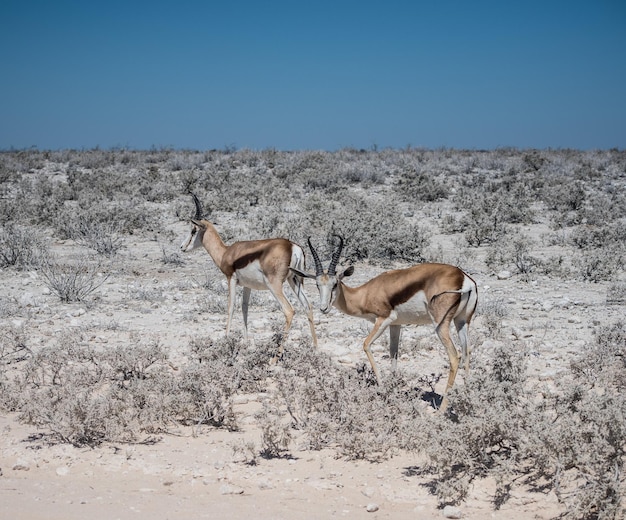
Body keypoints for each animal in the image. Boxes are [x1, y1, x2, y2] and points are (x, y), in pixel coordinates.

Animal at [180, 193, 316, 356]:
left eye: (193, 230)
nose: (182, 247)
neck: (225, 252)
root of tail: (292, 246)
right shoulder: (247, 285)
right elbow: (245, 308)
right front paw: (245, 342)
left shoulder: (230, 278)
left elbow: (231, 307)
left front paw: (226, 339)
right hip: (295, 280)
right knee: (308, 306)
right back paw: (317, 349)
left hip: (275, 285)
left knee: (289, 310)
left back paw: (276, 356)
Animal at [290, 236, 476, 410]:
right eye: (317, 284)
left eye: (335, 284)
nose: (323, 308)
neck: (364, 294)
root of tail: (463, 278)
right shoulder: (396, 325)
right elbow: (394, 354)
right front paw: (393, 388)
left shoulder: (384, 319)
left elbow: (366, 345)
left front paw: (382, 388)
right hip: (462, 322)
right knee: (467, 352)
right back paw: (467, 400)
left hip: (441, 325)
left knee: (455, 356)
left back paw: (442, 410)